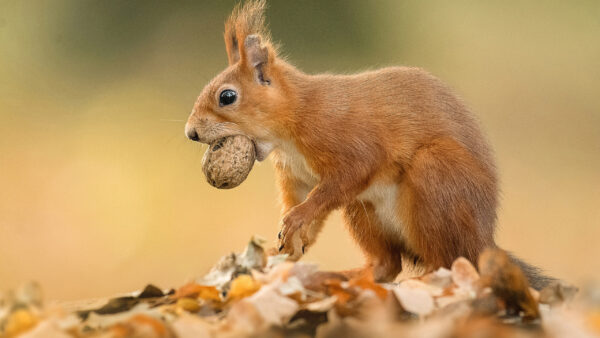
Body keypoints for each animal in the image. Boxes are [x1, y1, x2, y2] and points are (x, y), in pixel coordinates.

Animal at [184, 1, 552, 290]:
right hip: (364, 211)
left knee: (449, 264)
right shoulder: (297, 175)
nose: (190, 132)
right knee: (388, 264)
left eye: (227, 96)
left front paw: (296, 220)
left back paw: (423, 279)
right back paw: (342, 276)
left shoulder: (347, 139)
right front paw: (290, 240)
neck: (295, 119)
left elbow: (346, 178)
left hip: (436, 181)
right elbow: (303, 199)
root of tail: (484, 241)